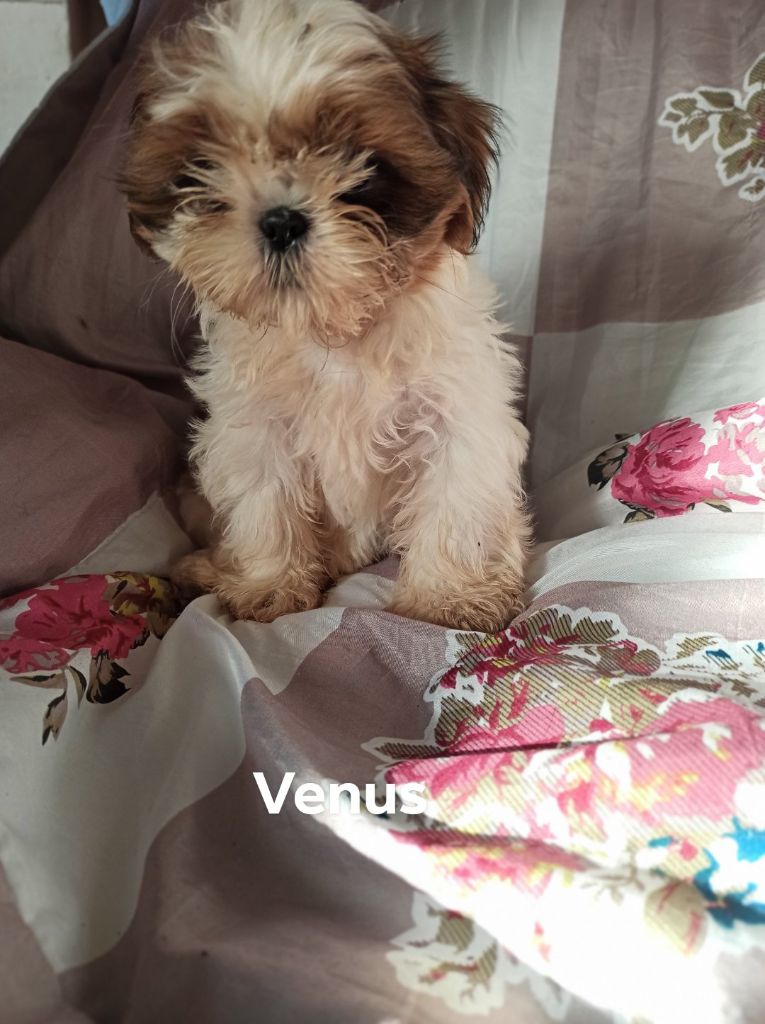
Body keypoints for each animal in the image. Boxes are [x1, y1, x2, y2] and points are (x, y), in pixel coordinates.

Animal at [121, 0, 530, 632]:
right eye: (202, 169)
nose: (281, 219)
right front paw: (267, 585)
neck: (337, 331)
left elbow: (456, 499)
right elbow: (265, 501)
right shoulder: (254, 424)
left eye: (363, 168)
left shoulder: (459, 412)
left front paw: (449, 597)